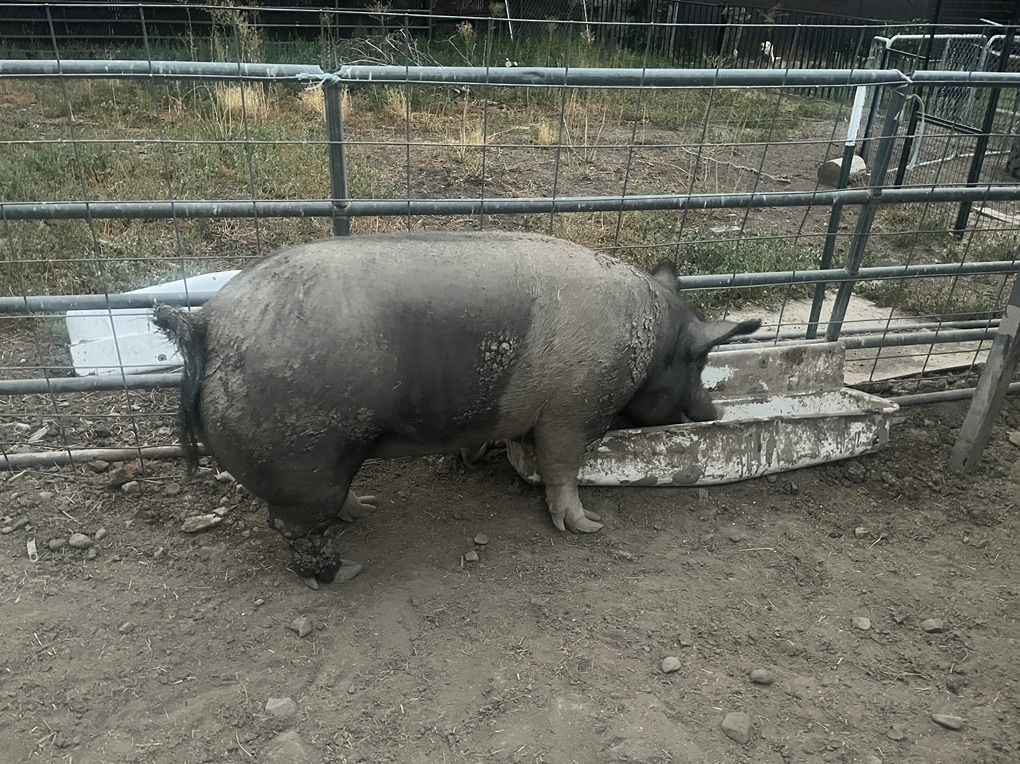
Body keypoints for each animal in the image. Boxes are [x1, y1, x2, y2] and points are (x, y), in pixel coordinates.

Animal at [153, 231, 759, 584]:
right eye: (700, 361)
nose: (715, 413)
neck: (651, 340)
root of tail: (206, 325)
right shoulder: (574, 408)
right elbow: (562, 466)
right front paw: (588, 528)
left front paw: (470, 460)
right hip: (301, 458)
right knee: (292, 527)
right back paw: (345, 571)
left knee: (324, 507)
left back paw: (366, 509)